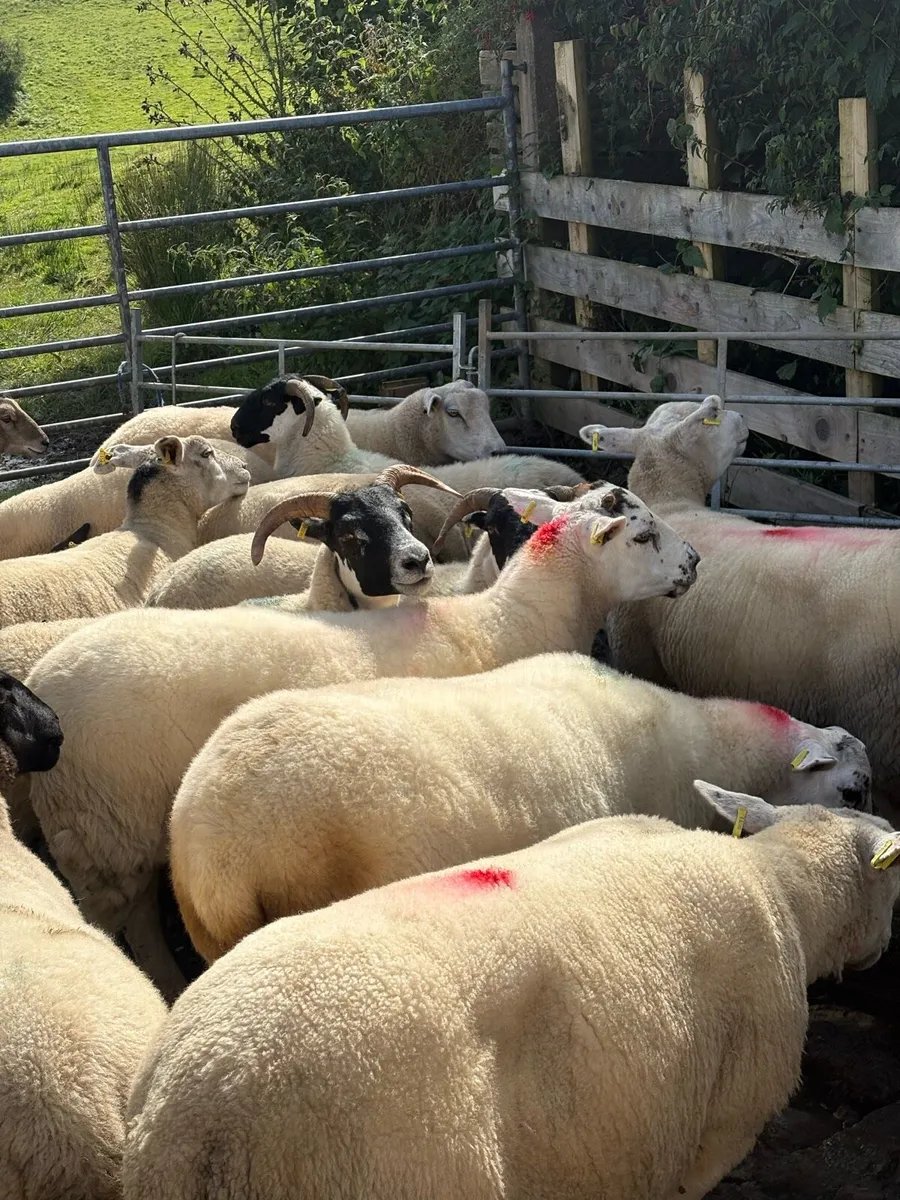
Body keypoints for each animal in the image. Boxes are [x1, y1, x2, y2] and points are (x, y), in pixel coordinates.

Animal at [26, 482, 699, 997]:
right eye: (641, 535)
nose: (693, 562)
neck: (508, 619)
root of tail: (42, 683)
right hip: (101, 833)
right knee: (121, 920)